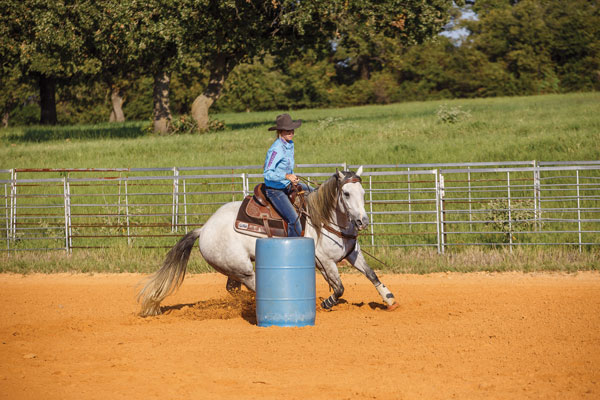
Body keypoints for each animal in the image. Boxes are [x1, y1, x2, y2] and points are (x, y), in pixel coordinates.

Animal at [138, 166, 396, 316]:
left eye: (363, 192)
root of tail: (203, 229)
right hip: (242, 269)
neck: (325, 220)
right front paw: (327, 302)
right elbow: (340, 287)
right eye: (346, 193)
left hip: (233, 269)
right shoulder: (326, 261)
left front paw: (389, 299)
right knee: (253, 284)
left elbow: (371, 274)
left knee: (233, 289)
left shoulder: (352, 254)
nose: (363, 221)